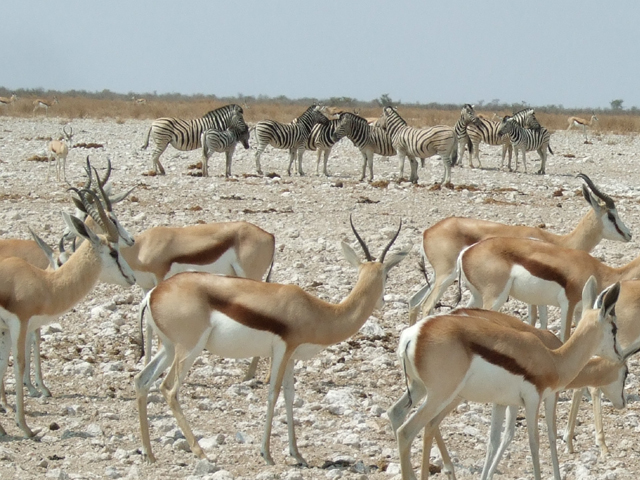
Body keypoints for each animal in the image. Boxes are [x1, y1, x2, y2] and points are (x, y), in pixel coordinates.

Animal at [0, 189, 134, 436]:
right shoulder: (19, 325)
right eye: (113, 252)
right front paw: (25, 427)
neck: (43, 283)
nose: (132, 277)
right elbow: (18, 365)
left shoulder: (5, 330)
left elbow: (3, 364)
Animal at [134, 219, 410, 464]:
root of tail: (154, 294)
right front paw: (266, 454)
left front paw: (297, 454)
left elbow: (289, 395)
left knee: (142, 380)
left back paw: (149, 454)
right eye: (386, 275)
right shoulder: (282, 351)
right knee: (168, 389)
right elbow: (273, 394)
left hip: (169, 349)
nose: (382, 301)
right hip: (188, 349)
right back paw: (201, 453)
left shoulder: (292, 357)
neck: (318, 312)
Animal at [388, 278, 624, 480]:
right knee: (407, 432)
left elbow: (494, 442)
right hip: (441, 396)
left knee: (400, 415)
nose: (620, 355)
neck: (554, 359)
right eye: (614, 328)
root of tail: (413, 335)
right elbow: (537, 442)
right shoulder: (534, 400)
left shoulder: (503, 402)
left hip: (421, 389)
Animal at [408, 173, 632, 326]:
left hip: (440, 277)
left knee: (414, 302)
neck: (559, 242)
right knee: (427, 306)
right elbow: (535, 318)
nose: (629, 234)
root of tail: (427, 231)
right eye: (611, 215)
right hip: (446, 276)